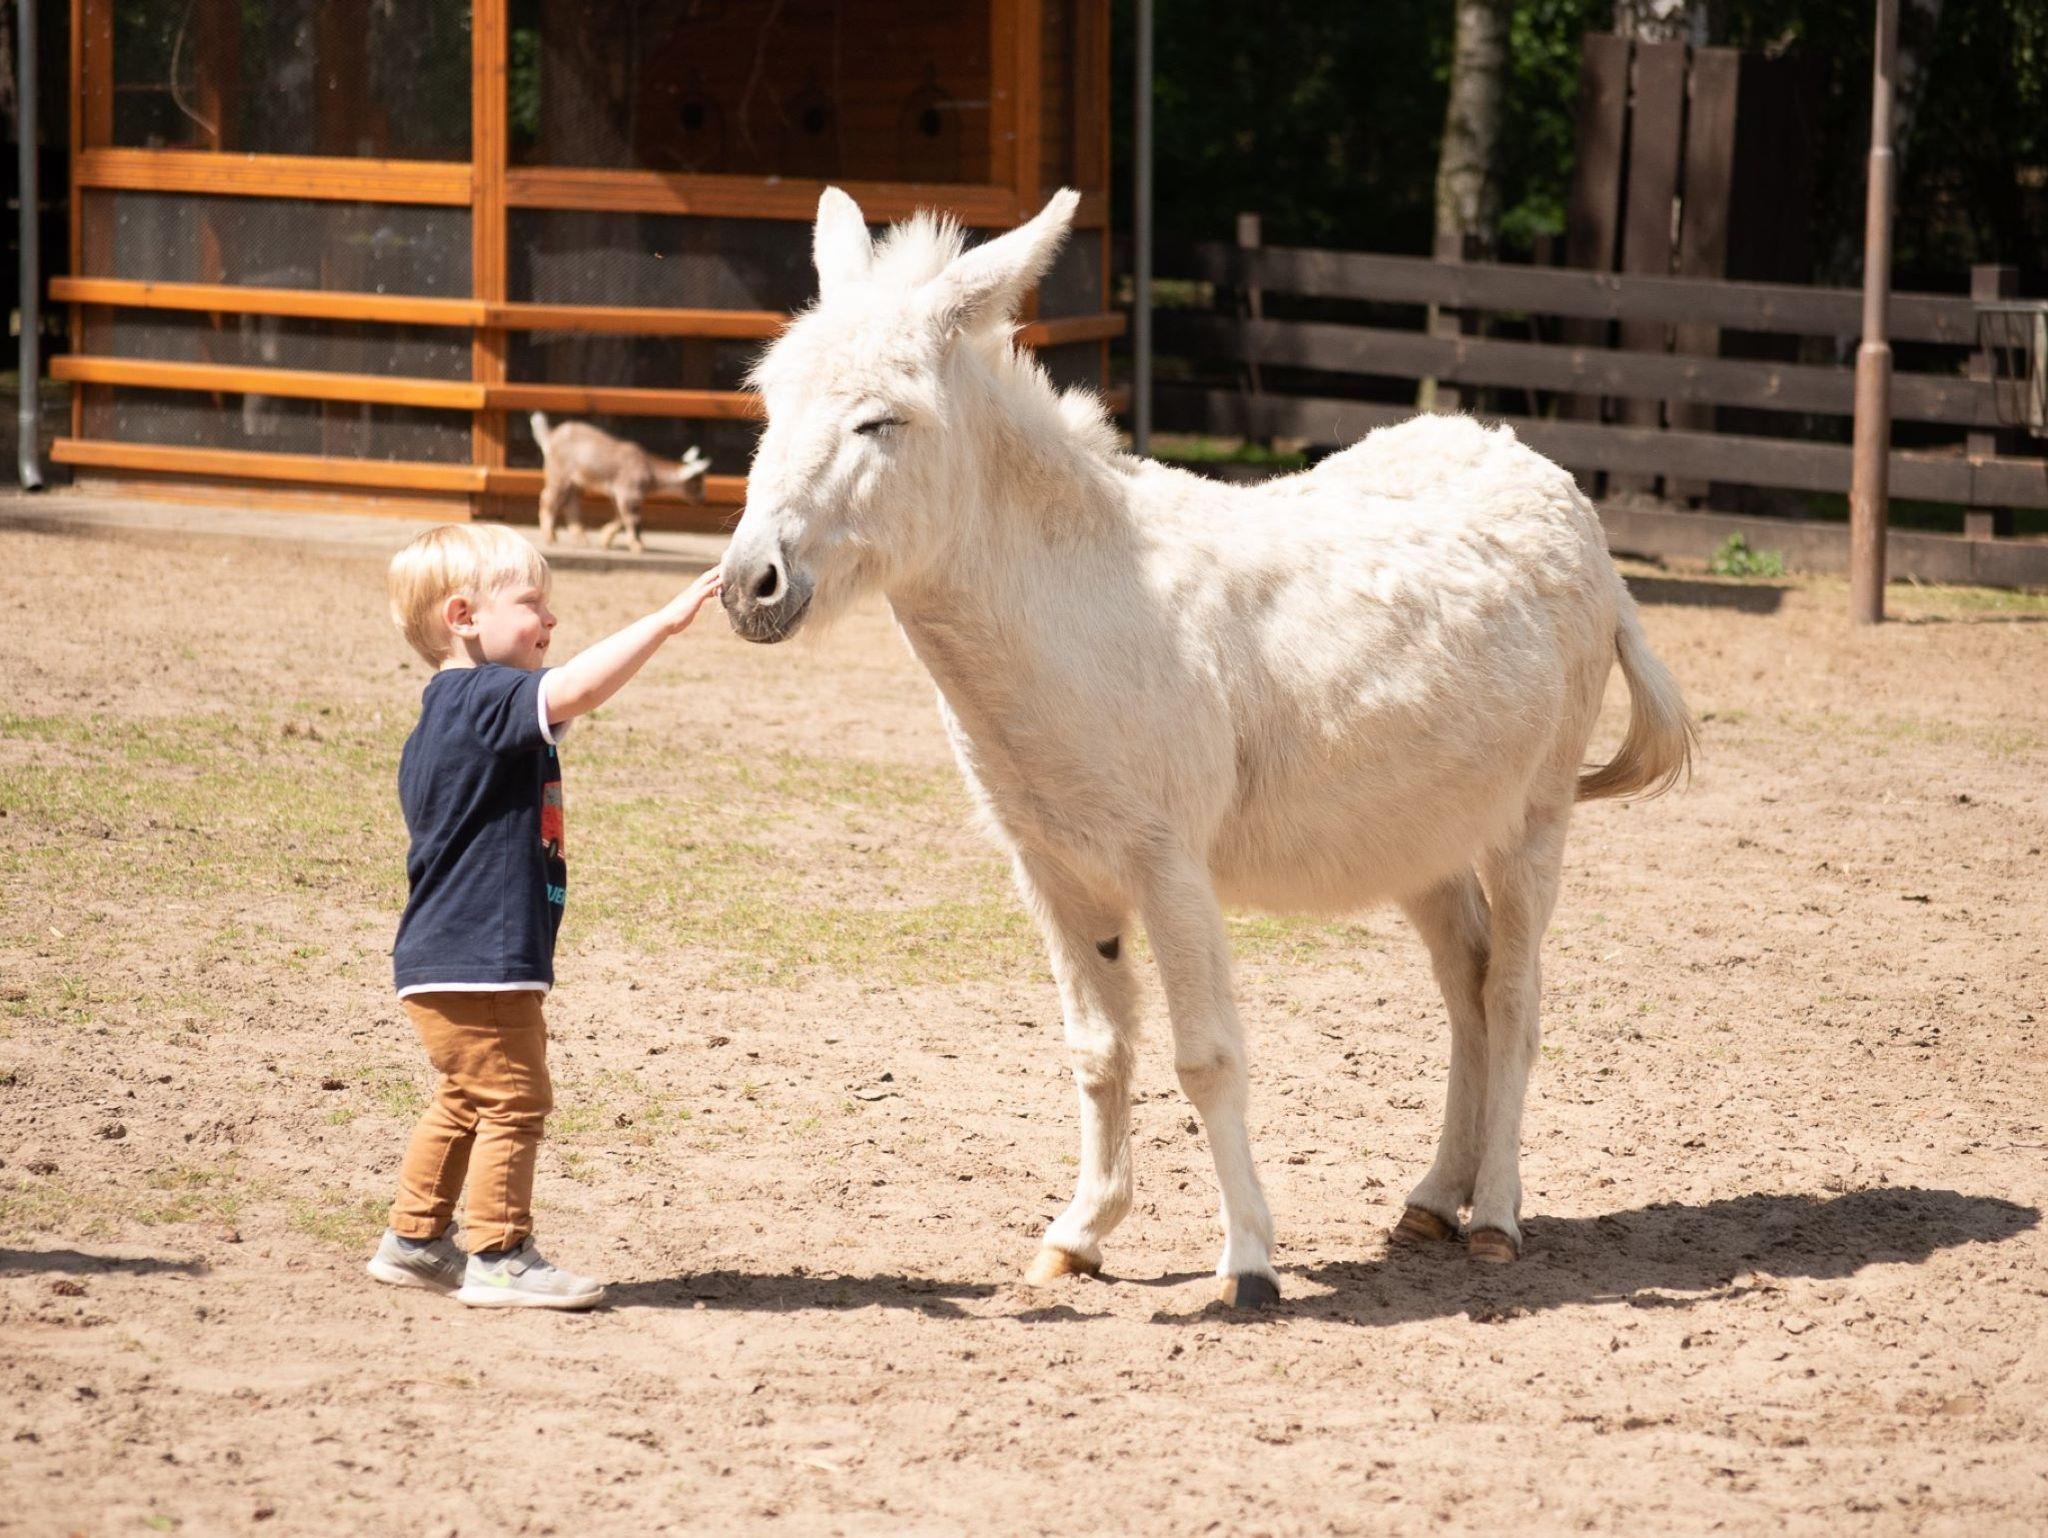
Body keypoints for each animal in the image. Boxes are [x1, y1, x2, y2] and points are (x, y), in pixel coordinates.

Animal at [720, 188, 1695, 1306]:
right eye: (767, 403)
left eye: (881, 421)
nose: (746, 585)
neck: (1076, 605)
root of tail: (1540, 471)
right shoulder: (1050, 865)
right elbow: (1097, 1048)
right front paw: (1078, 1234)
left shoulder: (1167, 864)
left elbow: (1206, 1057)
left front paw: (1248, 1264)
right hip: (1420, 837)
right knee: (1466, 990)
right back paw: (1429, 1202)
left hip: (1530, 819)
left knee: (1514, 996)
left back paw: (1491, 1214)